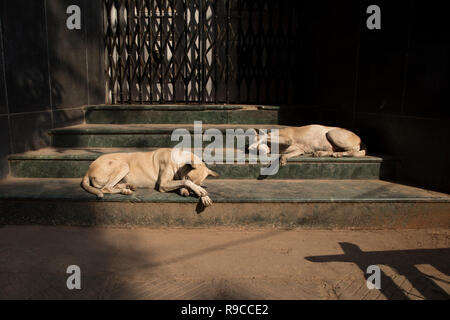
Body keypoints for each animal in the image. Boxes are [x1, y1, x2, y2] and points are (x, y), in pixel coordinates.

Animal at [83, 148, 221, 208]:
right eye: (188, 176)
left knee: (112, 186)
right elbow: (185, 181)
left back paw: (127, 187)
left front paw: (203, 195)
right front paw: (200, 191)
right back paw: (125, 190)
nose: (186, 194)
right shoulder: (164, 184)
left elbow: (183, 183)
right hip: (123, 165)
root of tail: (88, 169)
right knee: (106, 188)